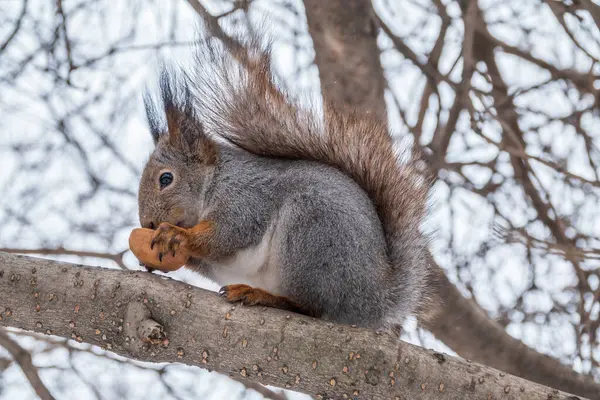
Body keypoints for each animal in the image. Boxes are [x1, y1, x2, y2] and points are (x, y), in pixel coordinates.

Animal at [138, 33, 434, 328]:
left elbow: (228, 235)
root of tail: (373, 304)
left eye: (166, 178)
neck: (215, 181)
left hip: (310, 233)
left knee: (310, 306)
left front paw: (176, 234)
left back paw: (260, 295)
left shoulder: (246, 199)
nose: (148, 224)